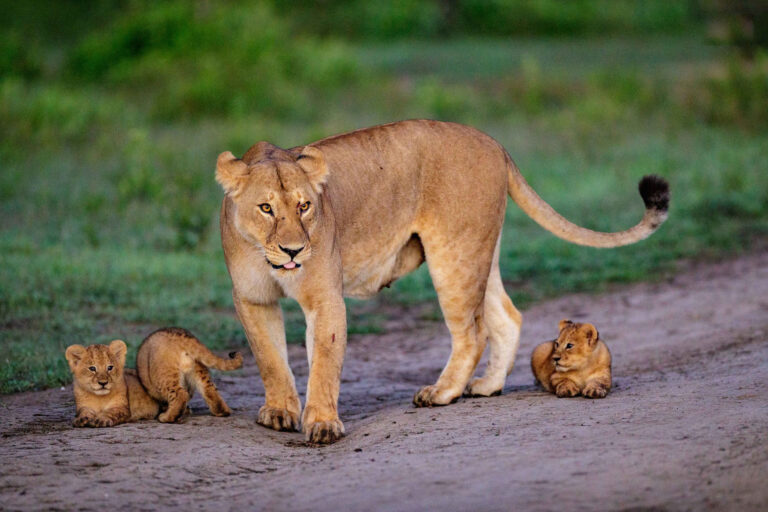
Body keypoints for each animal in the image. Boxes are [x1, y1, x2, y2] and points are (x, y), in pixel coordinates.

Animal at [216, 119, 668, 443]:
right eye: (266, 208)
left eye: (305, 206)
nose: (294, 251)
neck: (268, 256)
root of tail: (493, 143)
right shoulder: (252, 299)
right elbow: (270, 358)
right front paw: (279, 412)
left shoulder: (324, 297)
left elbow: (324, 363)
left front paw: (323, 425)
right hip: (480, 251)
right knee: (507, 316)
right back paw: (487, 386)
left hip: (454, 255)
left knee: (472, 331)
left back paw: (442, 392)